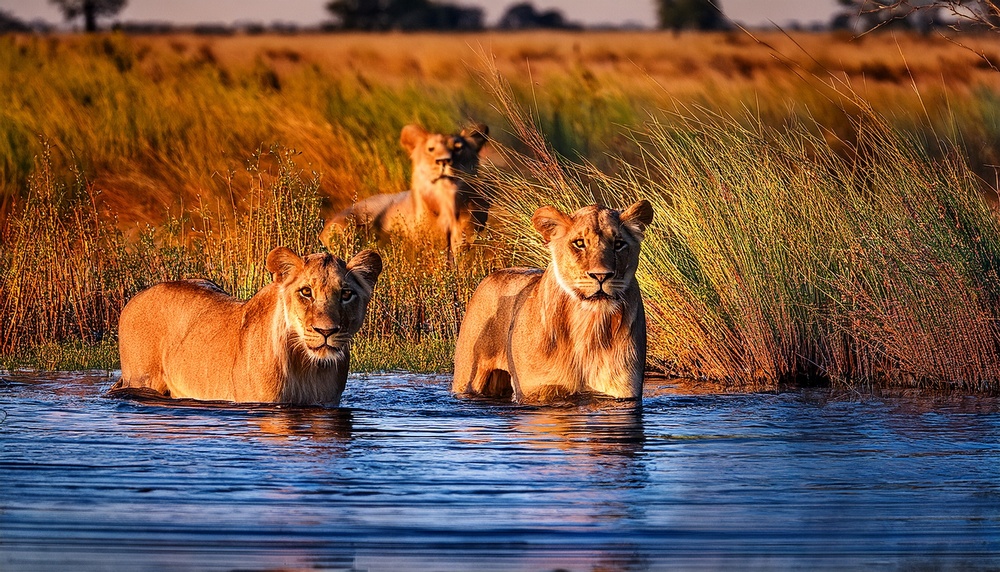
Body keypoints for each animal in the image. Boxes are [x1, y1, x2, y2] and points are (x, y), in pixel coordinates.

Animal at [112, 246, 382, 406]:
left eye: (346, 294)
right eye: (306, 292)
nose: (326, 331)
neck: (307, 368)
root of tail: (134, 298)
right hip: (142, 380)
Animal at [452, 200, 654, 403]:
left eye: (619, 244)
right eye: (579, 243)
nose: (601, 275)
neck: (587, 324)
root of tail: (492, 274)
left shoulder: (622, 390)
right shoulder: (538, 390)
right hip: (466, 378)